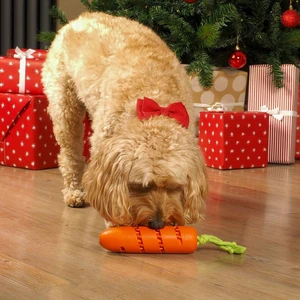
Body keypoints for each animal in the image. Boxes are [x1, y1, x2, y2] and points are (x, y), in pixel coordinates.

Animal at [41, 11, 206, 227]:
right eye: (140, 186)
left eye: (173, 186)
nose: (157, 224)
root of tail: (81, 18)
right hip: (65, 108)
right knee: (70, 156)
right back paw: (74, 192)